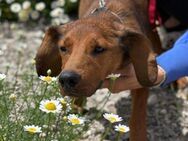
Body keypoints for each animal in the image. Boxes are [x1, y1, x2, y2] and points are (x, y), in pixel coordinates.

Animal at [36, 0, 162, 140]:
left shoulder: (140, 80)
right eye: (63, 48)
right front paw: (77, 107)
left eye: (99, 48)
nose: (66, 79)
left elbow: (137, 118)